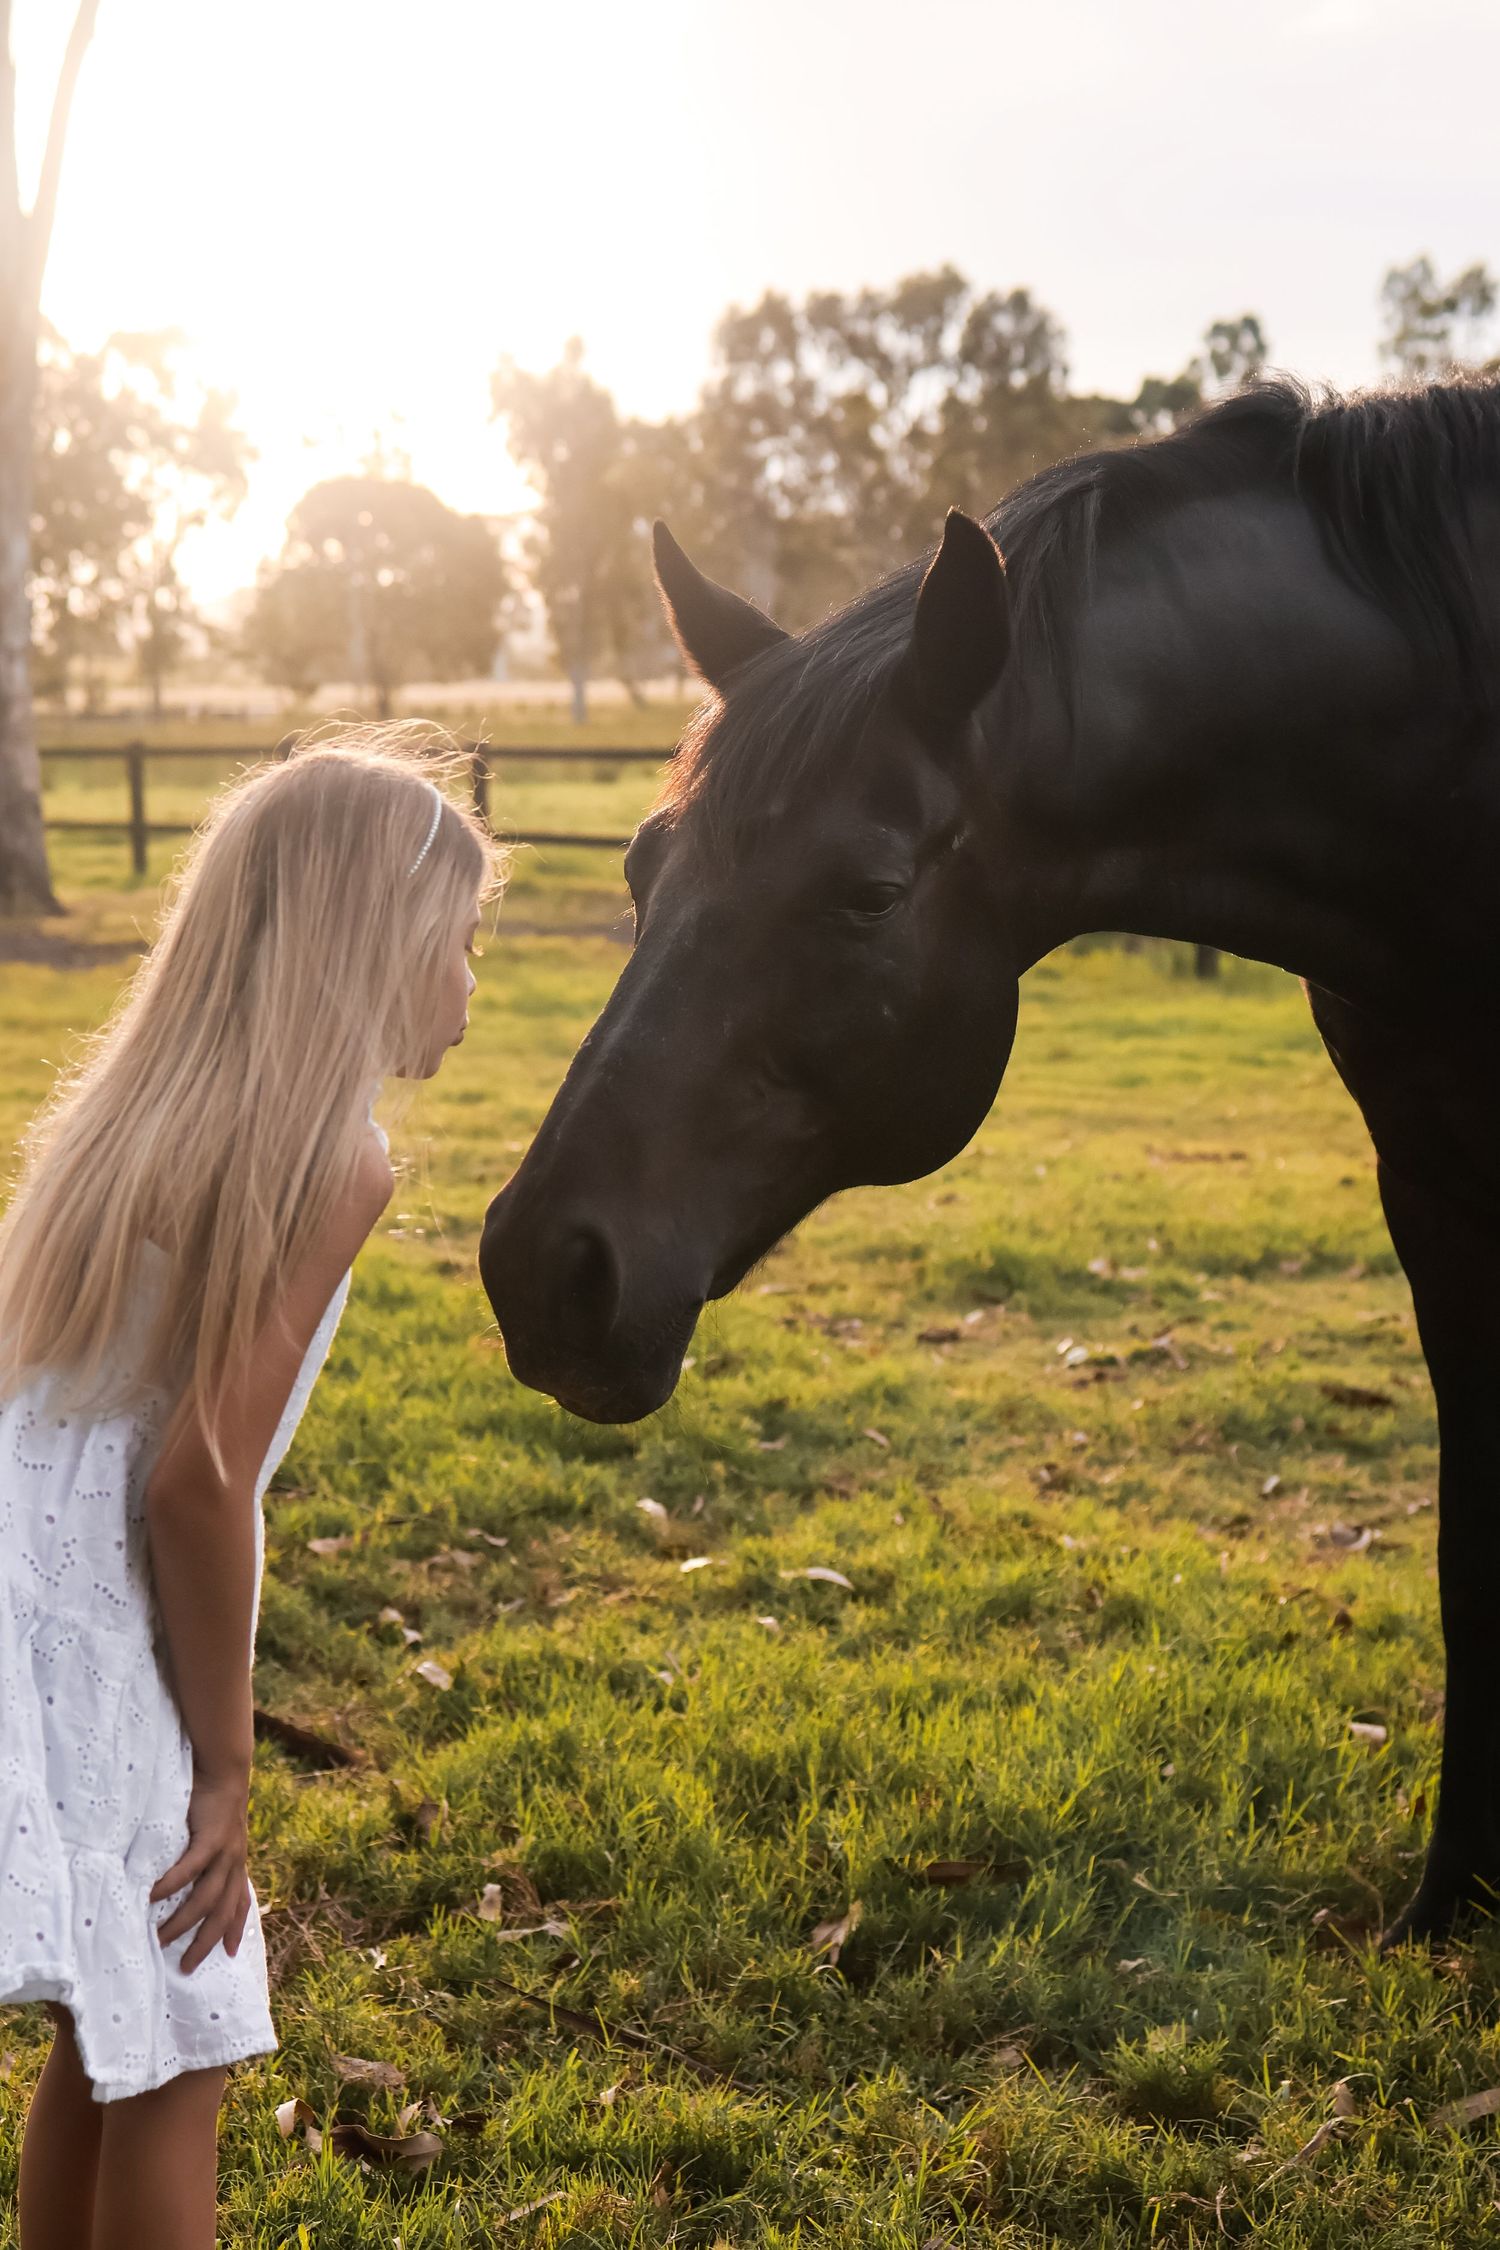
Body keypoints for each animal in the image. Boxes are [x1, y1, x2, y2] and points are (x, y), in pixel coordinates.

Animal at [479, 375, 1500, 1947]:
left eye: (870, 891)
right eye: (644, 867)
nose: (541, 1267)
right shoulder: (1430, 1181)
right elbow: (1465, 1546)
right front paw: (1450, 1904)